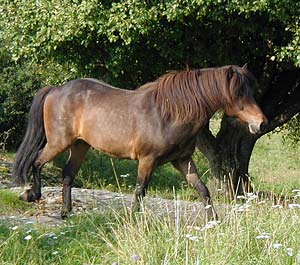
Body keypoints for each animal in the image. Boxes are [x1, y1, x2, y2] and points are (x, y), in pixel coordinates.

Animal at [12, 64, 268, 219]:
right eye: (239, 93)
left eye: (252, 91)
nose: (262, 123)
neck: (170, 113)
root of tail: (57, 89)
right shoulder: (147, 160)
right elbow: (140, 190)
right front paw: (133, 218)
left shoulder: (183, 161)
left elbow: (203, 190)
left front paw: (214, 221)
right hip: (59, 142)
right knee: (37, 162)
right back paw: (30, 195)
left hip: (80, 145)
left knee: (67, 175)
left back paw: (66, 212)